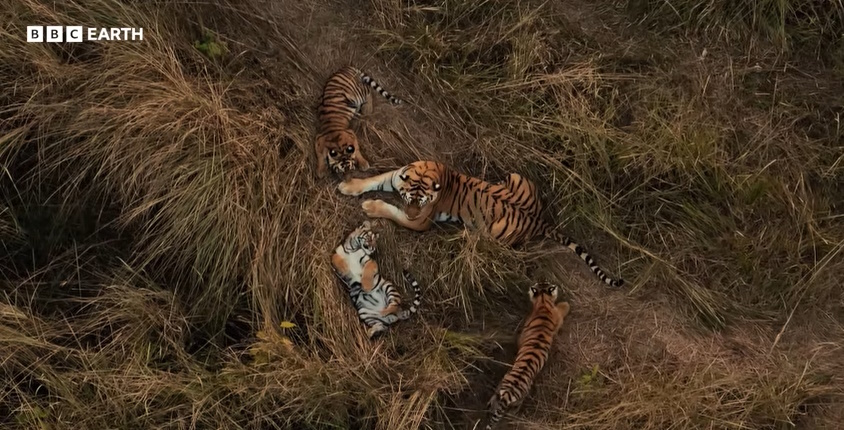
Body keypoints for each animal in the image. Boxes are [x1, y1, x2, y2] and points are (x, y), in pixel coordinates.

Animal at [337, 160, 625, 288]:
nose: (411, 213)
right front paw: (349, 187)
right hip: (516, 176)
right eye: (410, 198)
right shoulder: (396, 177)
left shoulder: (421, 221)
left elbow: (392, 211)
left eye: (419, 205)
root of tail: (540, 221)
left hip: (494, 229)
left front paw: (370, 206)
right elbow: (374, 180)